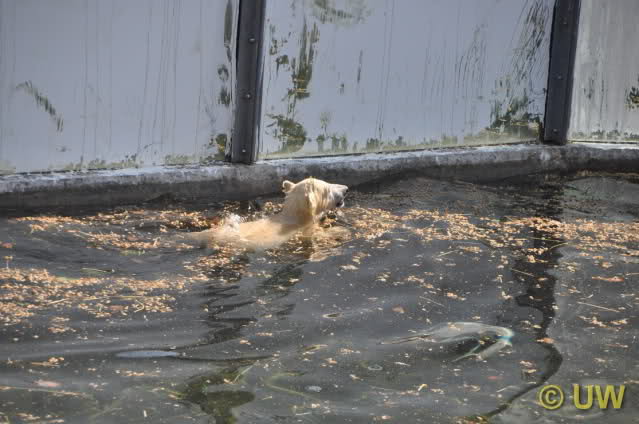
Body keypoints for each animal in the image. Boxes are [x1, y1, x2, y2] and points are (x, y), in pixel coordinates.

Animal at [189, 177, 348, 250]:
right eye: (328, 188)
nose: (346, 188)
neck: (293, 217)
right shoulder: (300, 230)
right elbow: (314, 235)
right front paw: (341, 231)